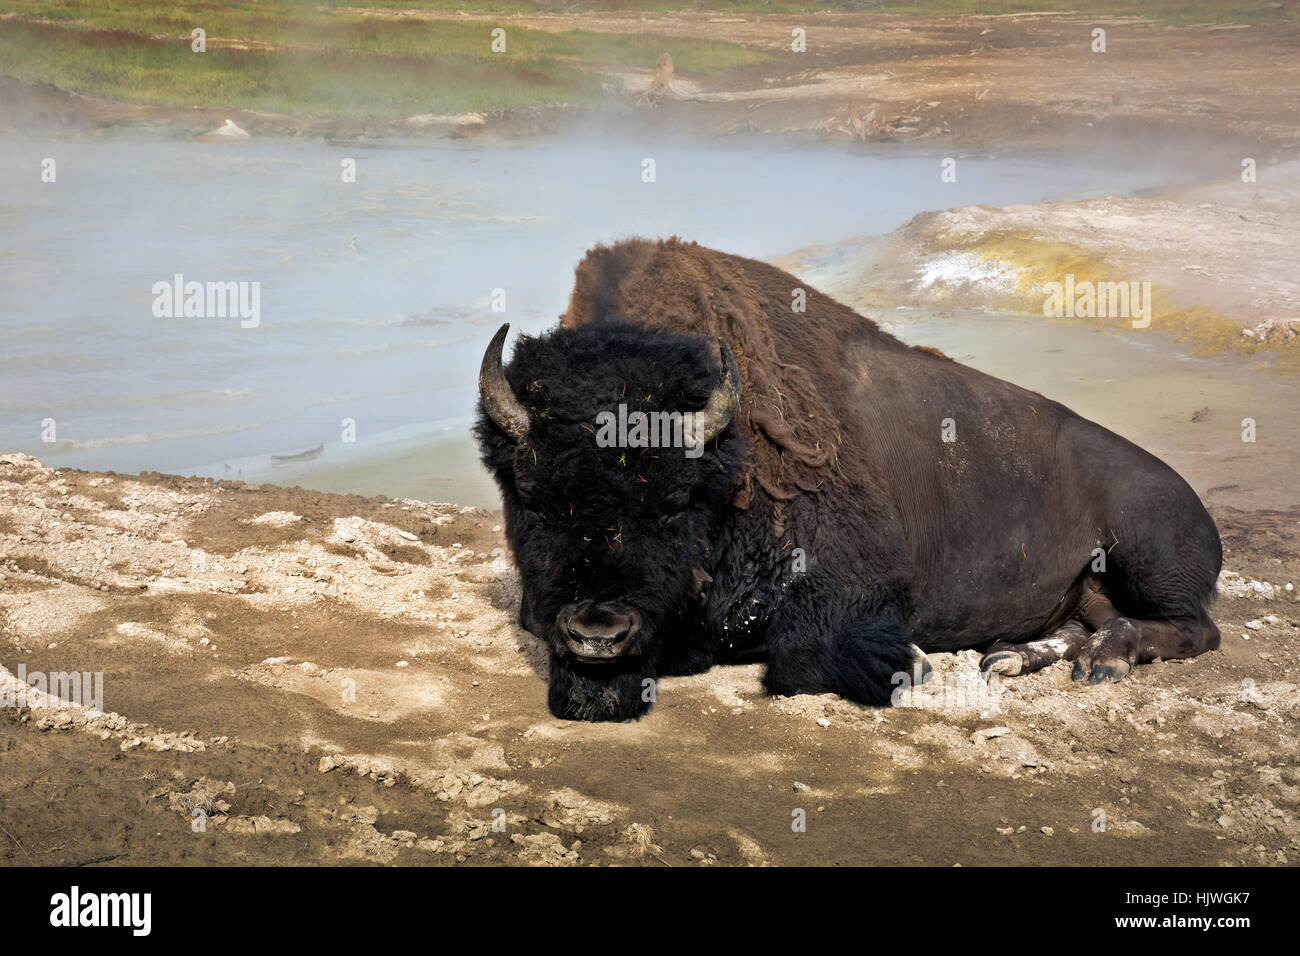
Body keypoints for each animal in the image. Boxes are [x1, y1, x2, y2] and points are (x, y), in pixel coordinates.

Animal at [475, 238, 1216, 717]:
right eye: (532, 498)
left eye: (674, 502)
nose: (599, 634)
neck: (730, 456)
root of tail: (1191, 500)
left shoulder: (853, 585)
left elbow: (804, 657)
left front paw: (912, 663)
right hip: (1089, 589)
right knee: (1090, 622)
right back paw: (1013, 655)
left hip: (1148, 548)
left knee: (1193, 629)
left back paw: (1105, 660)